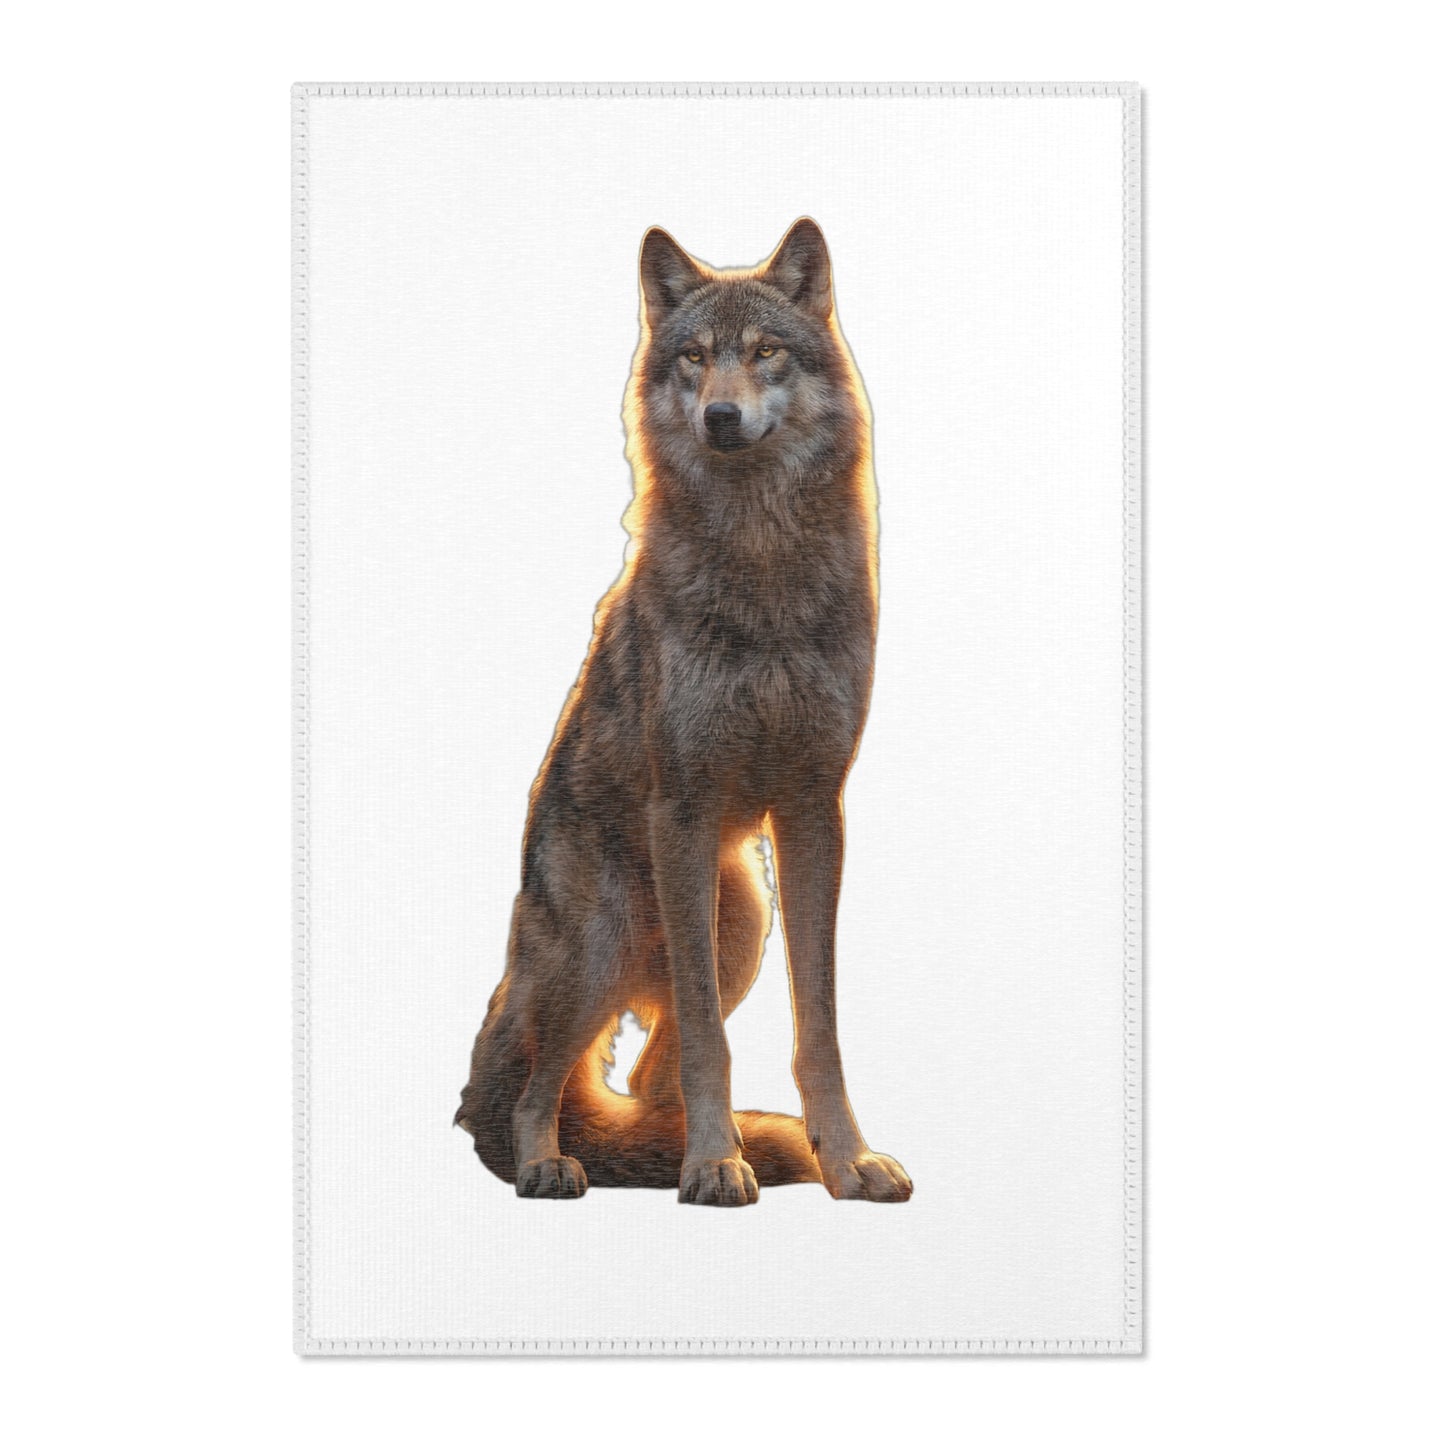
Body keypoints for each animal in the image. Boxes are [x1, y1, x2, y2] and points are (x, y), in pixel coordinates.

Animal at [455, 218, 911, 1207]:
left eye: (766, 351)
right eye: (694, 357)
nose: (721, 418)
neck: (761, 558)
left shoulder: (814, 807)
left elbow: (817, 1027)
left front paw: (844, 1160)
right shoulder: (686, 808)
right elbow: (708, 1038)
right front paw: (710, 1164)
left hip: (738, 922)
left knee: (641, 1073)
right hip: (605, 941)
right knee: (536, 1085)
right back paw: (555, 1162)